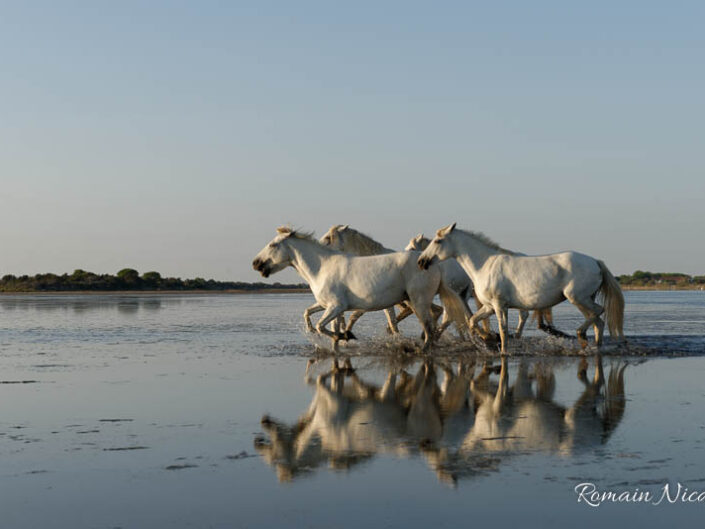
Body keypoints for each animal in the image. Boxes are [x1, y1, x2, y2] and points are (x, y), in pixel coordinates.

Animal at [252, 225, 468, 348]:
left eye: (272, 245)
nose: (255, 263)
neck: (321, 267)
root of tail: (433, 264)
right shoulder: (327, 305)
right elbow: (309, 315)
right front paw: (336, 337)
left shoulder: (336, 306)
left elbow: (323, 326)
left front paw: (345, 335)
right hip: (414, 302)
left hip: (418, 301)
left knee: (432, 326)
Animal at [408, 234, 568, 338]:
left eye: (411, 248)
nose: (419, 262)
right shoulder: (463, 296)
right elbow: (466, 316)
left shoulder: (459, 294)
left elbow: (455, 316)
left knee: (524, 315)